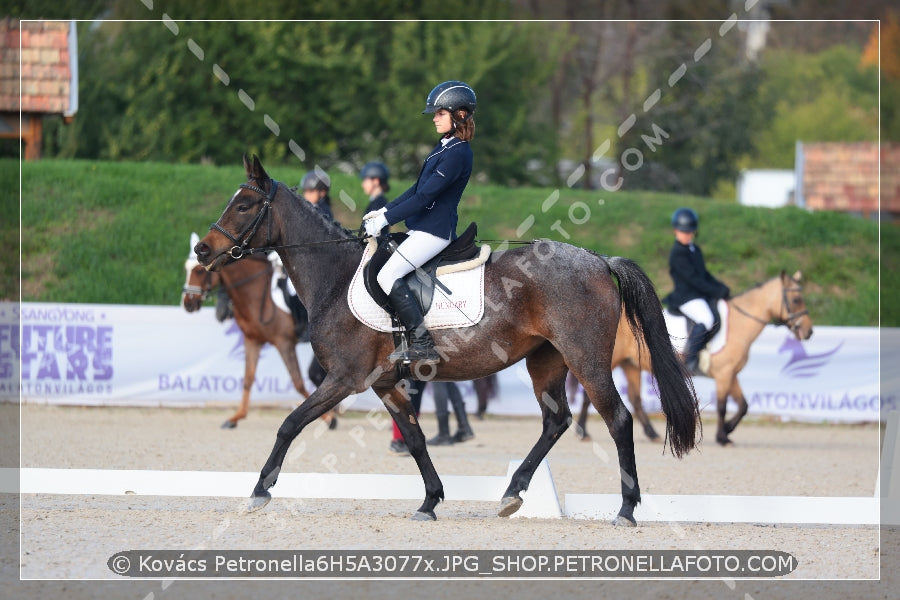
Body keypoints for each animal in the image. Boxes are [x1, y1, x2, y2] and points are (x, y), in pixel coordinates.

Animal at [181, 239, 336, 432]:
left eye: (199, 271)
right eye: (186, 269)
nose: (188, 303)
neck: (254, 289)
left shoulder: (284, 343)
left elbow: (298, 382)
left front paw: (329, 418)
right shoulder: (252, 340)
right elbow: (248, 378)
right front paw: (236, 418)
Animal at [576, 272, 816, 446]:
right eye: (796, 299)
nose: (808, 332)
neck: (738, 324)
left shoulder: (731, 374)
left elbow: (743, 406)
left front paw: (728, 430)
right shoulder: (724, 375)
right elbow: (723, 406)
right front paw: (722, 437)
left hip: (630, 365)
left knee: (635, 399)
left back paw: (652, 434)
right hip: (607, 361)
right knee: (591, 395)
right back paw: (582, 432)